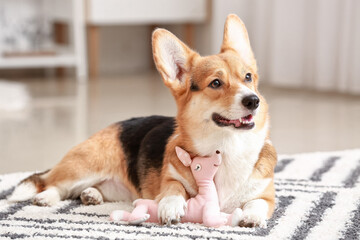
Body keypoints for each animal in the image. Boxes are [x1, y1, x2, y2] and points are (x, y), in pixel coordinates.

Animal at [9, 14, 278, 228]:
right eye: (216, 83)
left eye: (248, 77)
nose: (253, 101)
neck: (227, 147)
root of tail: (109, 127)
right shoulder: (170, 179)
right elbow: (173, 189)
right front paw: (171, 206)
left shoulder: (267, 197)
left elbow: (256, 204)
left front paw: (251, 217)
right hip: (84, 167)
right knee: (51, 182)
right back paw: (47, 197)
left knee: (84, 188)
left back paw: (91, 195)